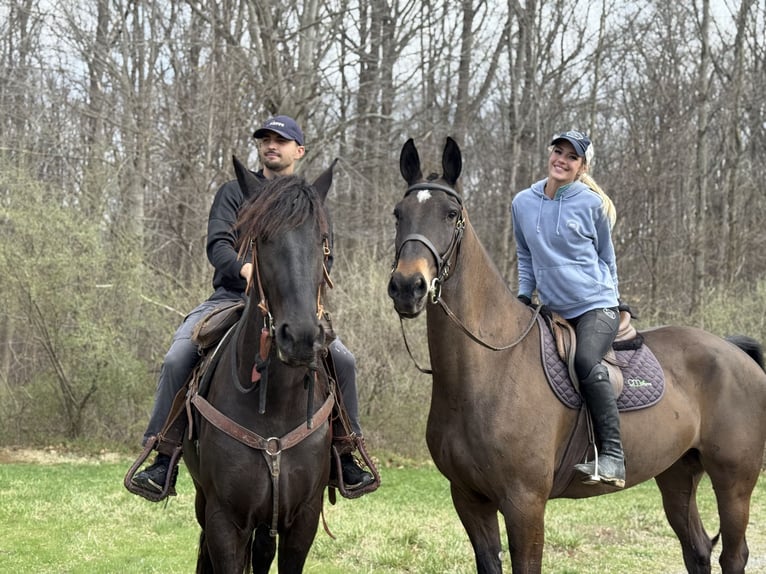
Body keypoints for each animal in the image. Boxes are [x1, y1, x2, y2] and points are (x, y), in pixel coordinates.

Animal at [182, 157, 336, 573]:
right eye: (262, 239)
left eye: (323, 242)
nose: (300, 337)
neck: (276, 407)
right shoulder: (224, 520)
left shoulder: (303, 520)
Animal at [386, 137, 766, 574]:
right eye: (399, 214)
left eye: (450, 214)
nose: (407, 286)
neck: (490, 369)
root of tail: (737, 353)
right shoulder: (468, 499)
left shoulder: (525, 503)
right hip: (676, 474)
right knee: (697, 549)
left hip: (734, 483)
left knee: (733, 555)